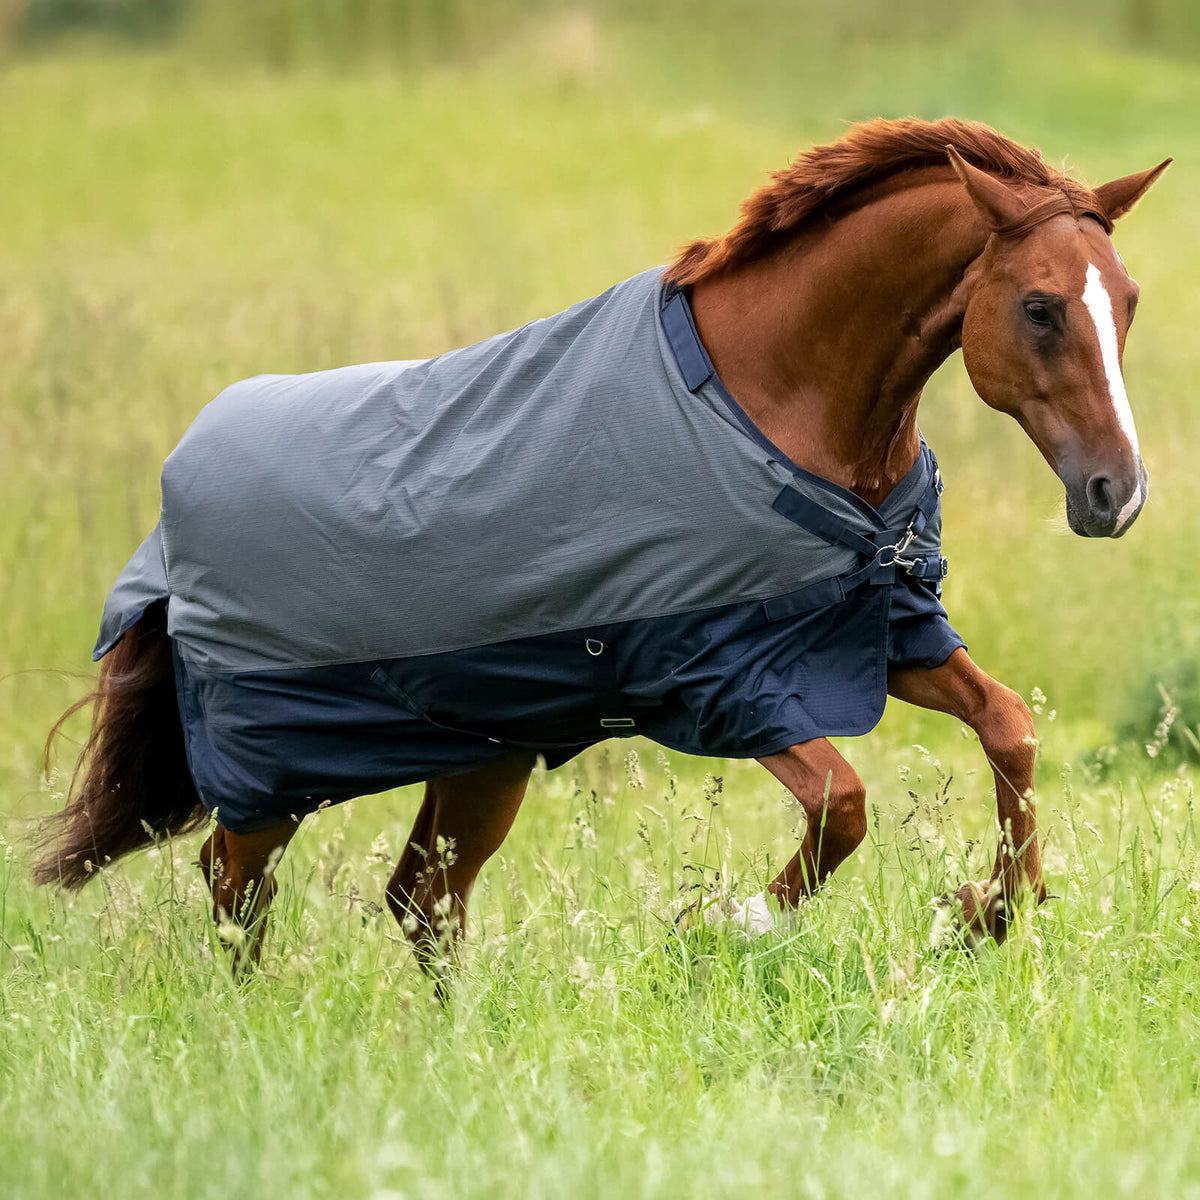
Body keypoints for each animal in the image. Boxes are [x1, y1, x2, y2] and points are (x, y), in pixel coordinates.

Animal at [34, 118, 1169, 971]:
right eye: (1038, 306)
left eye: (1127, 302)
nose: (1115, 495)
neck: (774, 402)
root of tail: (172, 514)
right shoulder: (715, 680)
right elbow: (842, 804)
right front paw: (725, 923)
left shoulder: (880, 633)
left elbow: (1010, 728)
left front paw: (989, 909)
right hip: (275, 770)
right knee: (237, 890)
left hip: (481, 757)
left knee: (422, 901)